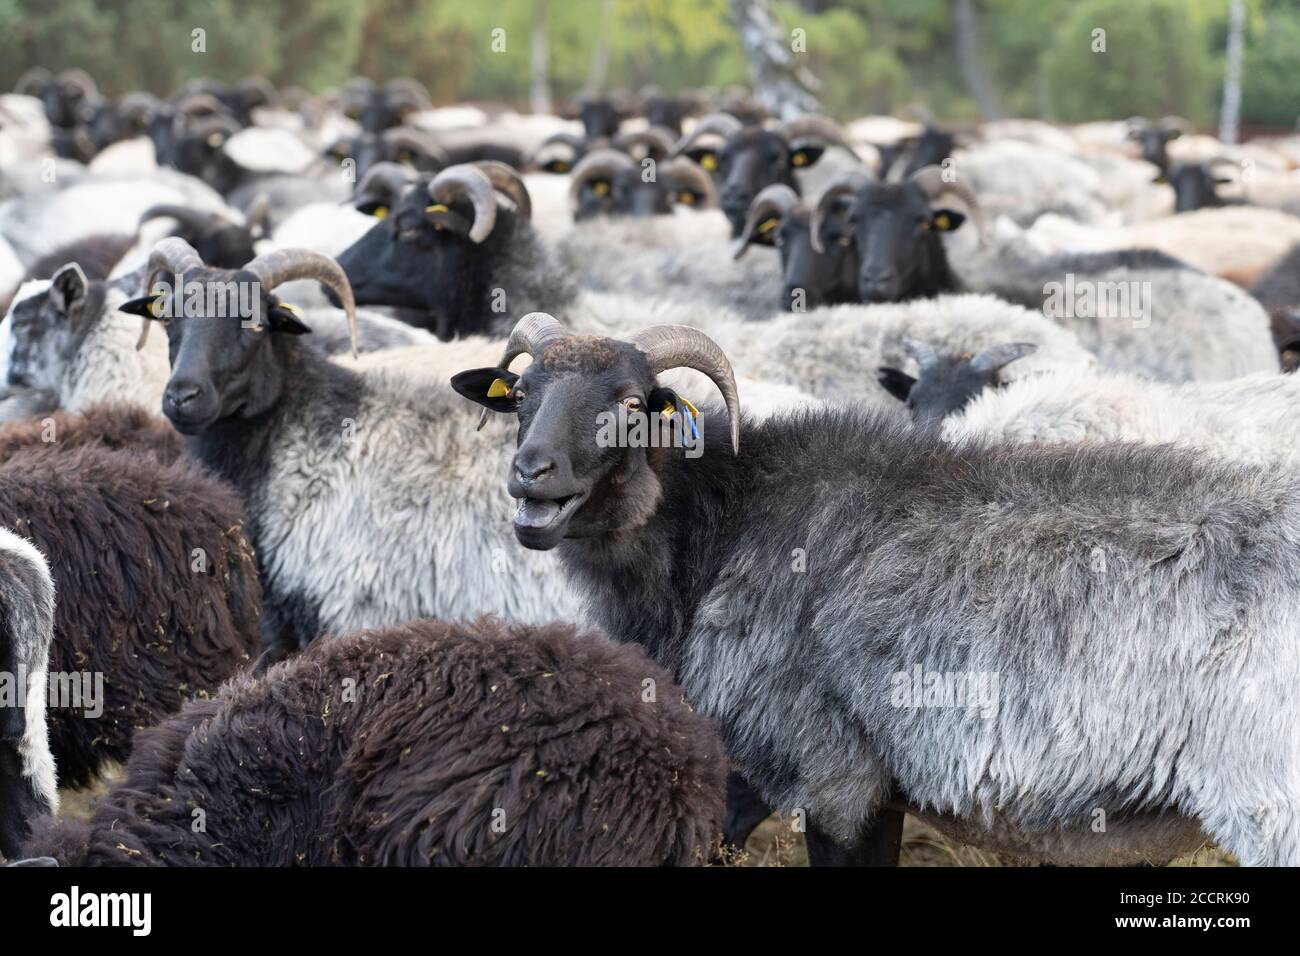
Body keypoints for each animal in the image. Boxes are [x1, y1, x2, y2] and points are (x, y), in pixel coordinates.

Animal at [454, 312, 1300, 867]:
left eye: (632, 404)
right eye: (521, 394)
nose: (531, 474)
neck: (718, 521)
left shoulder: (833, 776)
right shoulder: (877, 787)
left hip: (1269, 806)